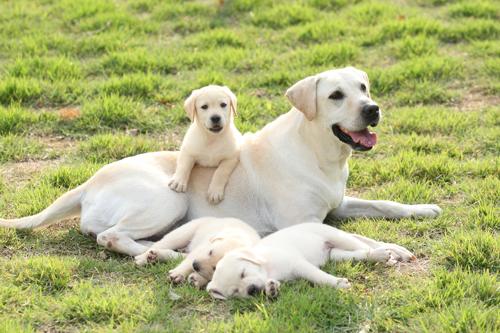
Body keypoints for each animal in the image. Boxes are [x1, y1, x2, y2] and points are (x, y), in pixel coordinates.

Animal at [0, 66, 442, 255]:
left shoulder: (338, 203)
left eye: (363, 87)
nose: (373, 109)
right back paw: (168, 253)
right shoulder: (304, 222)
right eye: (335, 95)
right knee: (110, 237)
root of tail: (88, 183)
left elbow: (384, 203)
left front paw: (423, 209)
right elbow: (360, 238)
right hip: (169, 197)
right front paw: (389, 248)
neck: (319, 153)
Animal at [206, 223, 414, 298]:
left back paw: (385, 254)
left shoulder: (299, 264)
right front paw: (271, 289)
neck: (267, 266)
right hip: (335, 253)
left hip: (336, 236)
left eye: (243, 273)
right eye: (235, 292)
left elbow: (318, 276)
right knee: (356, 253)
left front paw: (337, 283)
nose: (251, 290)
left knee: (366, 246)